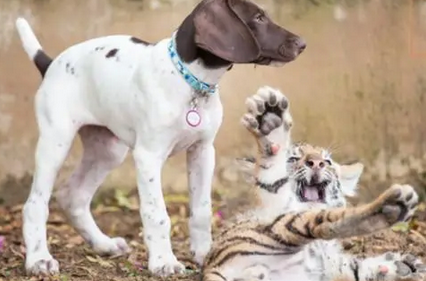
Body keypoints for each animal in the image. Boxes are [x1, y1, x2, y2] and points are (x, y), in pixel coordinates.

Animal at [15, 0, 304, 276]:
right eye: (258, 18)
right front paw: (164, 262)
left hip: (107, 151)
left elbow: (202, 210)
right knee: (35, 204)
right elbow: (157, 214)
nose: (302, 44)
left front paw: (205, 254)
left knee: (73, 195)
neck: (190, 81)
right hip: (56, 142)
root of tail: (51, 63)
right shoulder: (148, 157)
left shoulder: (202, 151)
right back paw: (39, 259)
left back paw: (103, 244)